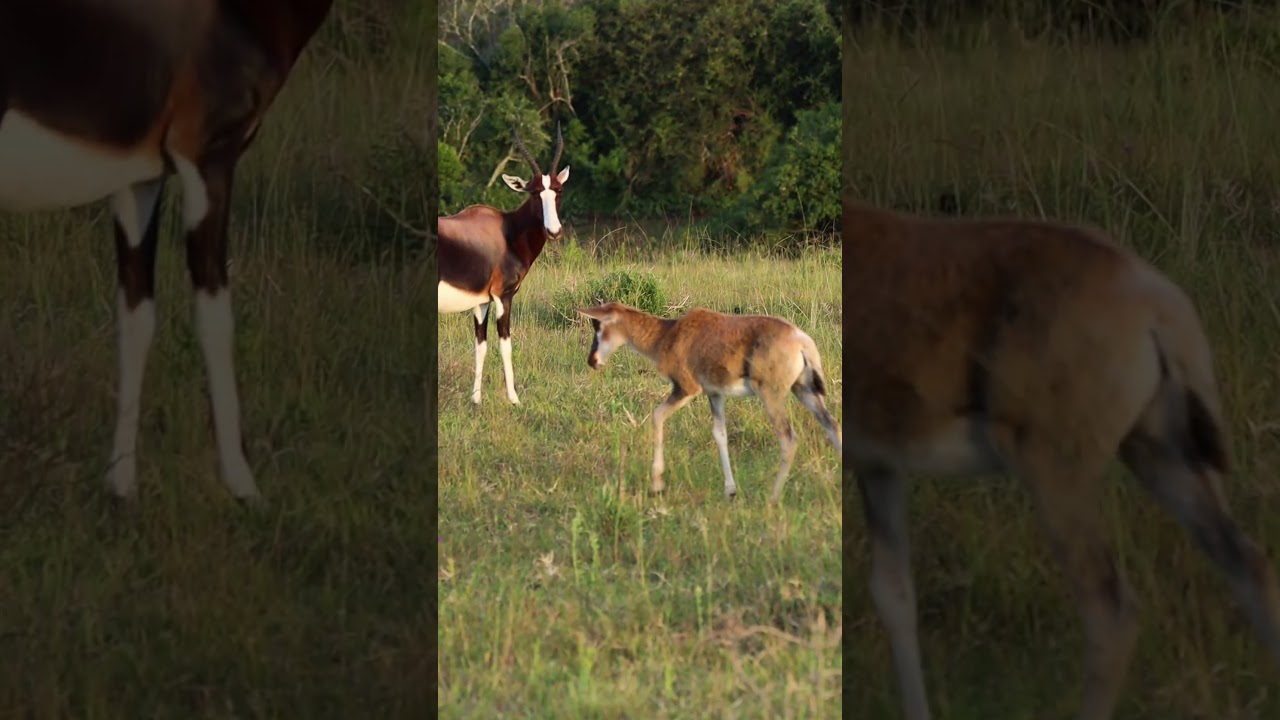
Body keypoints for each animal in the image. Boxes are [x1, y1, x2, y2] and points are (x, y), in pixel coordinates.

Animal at [0, 0, 334, 500]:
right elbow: (214, 319)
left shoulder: (137, 180)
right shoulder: (206, 158)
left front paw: (121, 485)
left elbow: (136, 317)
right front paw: (243, 486)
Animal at [437, 124, 569, 405]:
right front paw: (514, 399)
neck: (507, 231)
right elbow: (505, 344)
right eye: (534, 192)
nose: (554, 231)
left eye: (558, 191)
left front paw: (476, 400)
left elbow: (481, 345)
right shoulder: (503, 296)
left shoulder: (481, 301)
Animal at [576, 302, 842, 503]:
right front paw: (730, 491)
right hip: (805, 390)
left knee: (788, 439)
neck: (670, 332)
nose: (592, 361)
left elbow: (657, 416)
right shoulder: (714, 394)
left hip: (772, 395)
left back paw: (773, 499)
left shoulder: (686, 389)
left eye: (598, 325)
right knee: (832, 425)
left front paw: (657, 485)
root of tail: (802, 341)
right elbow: (720, 434)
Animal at [846, 196, 1280, 720]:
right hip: (1165, 455)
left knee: (1110, 612)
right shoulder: (880, 466)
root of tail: (1151, 298)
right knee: (1250, 566)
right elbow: (894, 597)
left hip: (1056, 475)